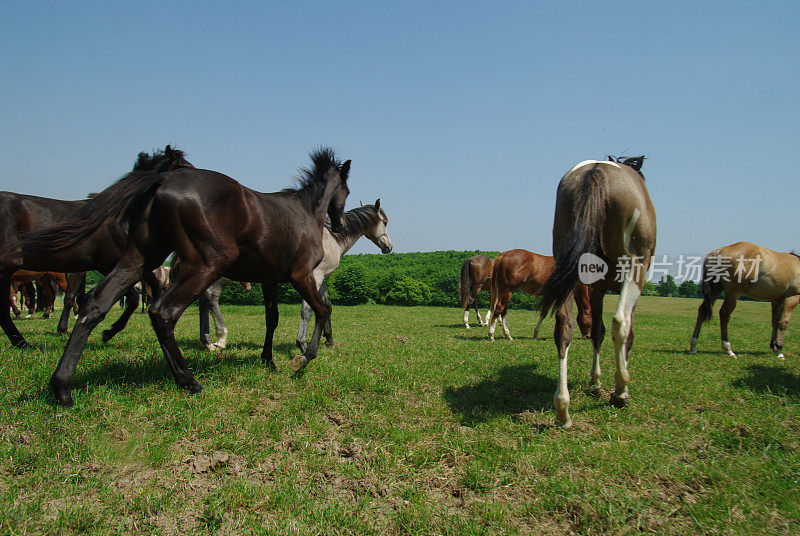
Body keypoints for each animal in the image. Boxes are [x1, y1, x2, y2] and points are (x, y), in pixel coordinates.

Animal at [0, 147, 194, 348]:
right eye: (182, 166)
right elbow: (123, 298)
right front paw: (105, 330)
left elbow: (147, 288)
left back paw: (21, 338)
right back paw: (21, 338)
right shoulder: (107, 265)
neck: (121, 217)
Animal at [21, 147, 350, 406]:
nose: (340, 223)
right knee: (163, 311)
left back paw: (62, 388)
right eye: (346, 190)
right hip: (206, 265)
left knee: (95, 303)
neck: (305, 212)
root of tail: (162, 181)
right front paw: (303, 358)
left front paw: (268, 360)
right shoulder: (301, 274)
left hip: (140, 258)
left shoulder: (270, 278)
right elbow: (321, 310)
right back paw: (188, 380)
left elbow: (273, 317)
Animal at [296, 198, 392, 352]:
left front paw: (329, 339)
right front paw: (303, 344)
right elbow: (307, 310)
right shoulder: (316, 275)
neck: (330, 238)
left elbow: (327, 306)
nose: (389, 247)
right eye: (385, 222)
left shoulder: (323, 277)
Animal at [536, 155, 656, 428]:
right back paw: (620, 391)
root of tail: (597, 170)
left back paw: (562, 409)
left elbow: (596, 331)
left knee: (564, 326)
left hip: (568, 268)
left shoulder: (597, 288)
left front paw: (594, 381)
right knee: (620, 323)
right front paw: (614, 386)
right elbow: (625, 332)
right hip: (635, 268)